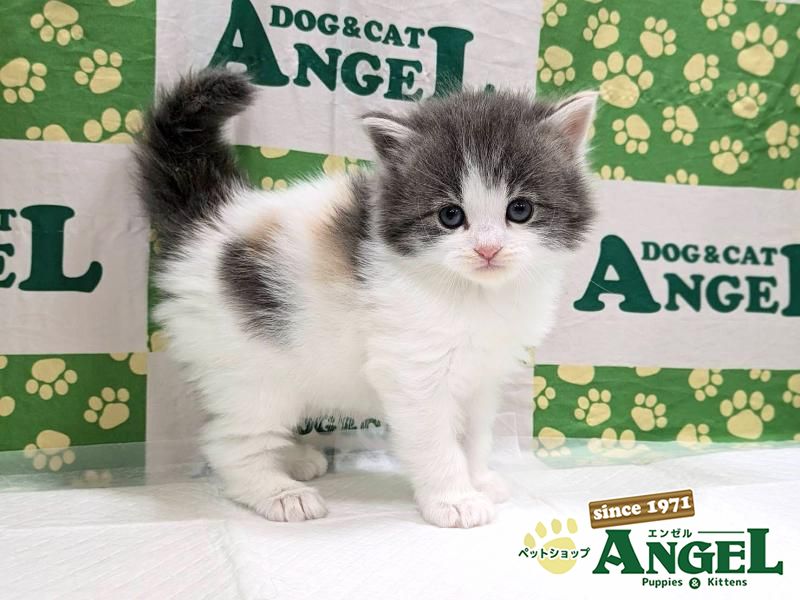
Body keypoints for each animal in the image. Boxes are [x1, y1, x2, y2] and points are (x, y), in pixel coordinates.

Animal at [136, 69, 597, 528]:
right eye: (450, 216)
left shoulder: (483, 374)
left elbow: (476, 434)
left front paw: (479, 480)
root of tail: (212, 222)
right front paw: (453, 499)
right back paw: (278, 491)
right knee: (228, 441)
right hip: (251, 369)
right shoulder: (413, 371)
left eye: (519, 210)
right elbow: (436, 441)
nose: (488, 250)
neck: (473, 295)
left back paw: (294, 459)